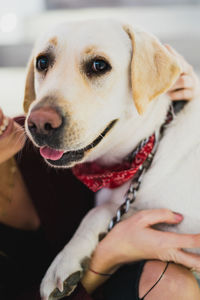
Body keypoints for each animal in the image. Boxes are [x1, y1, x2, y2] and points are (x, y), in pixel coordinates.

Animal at [23, 19, 200, 298]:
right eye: (42, 62)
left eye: (99, 65)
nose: (39, 123)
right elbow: (106, 210)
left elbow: (106, 211)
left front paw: (62, 262)